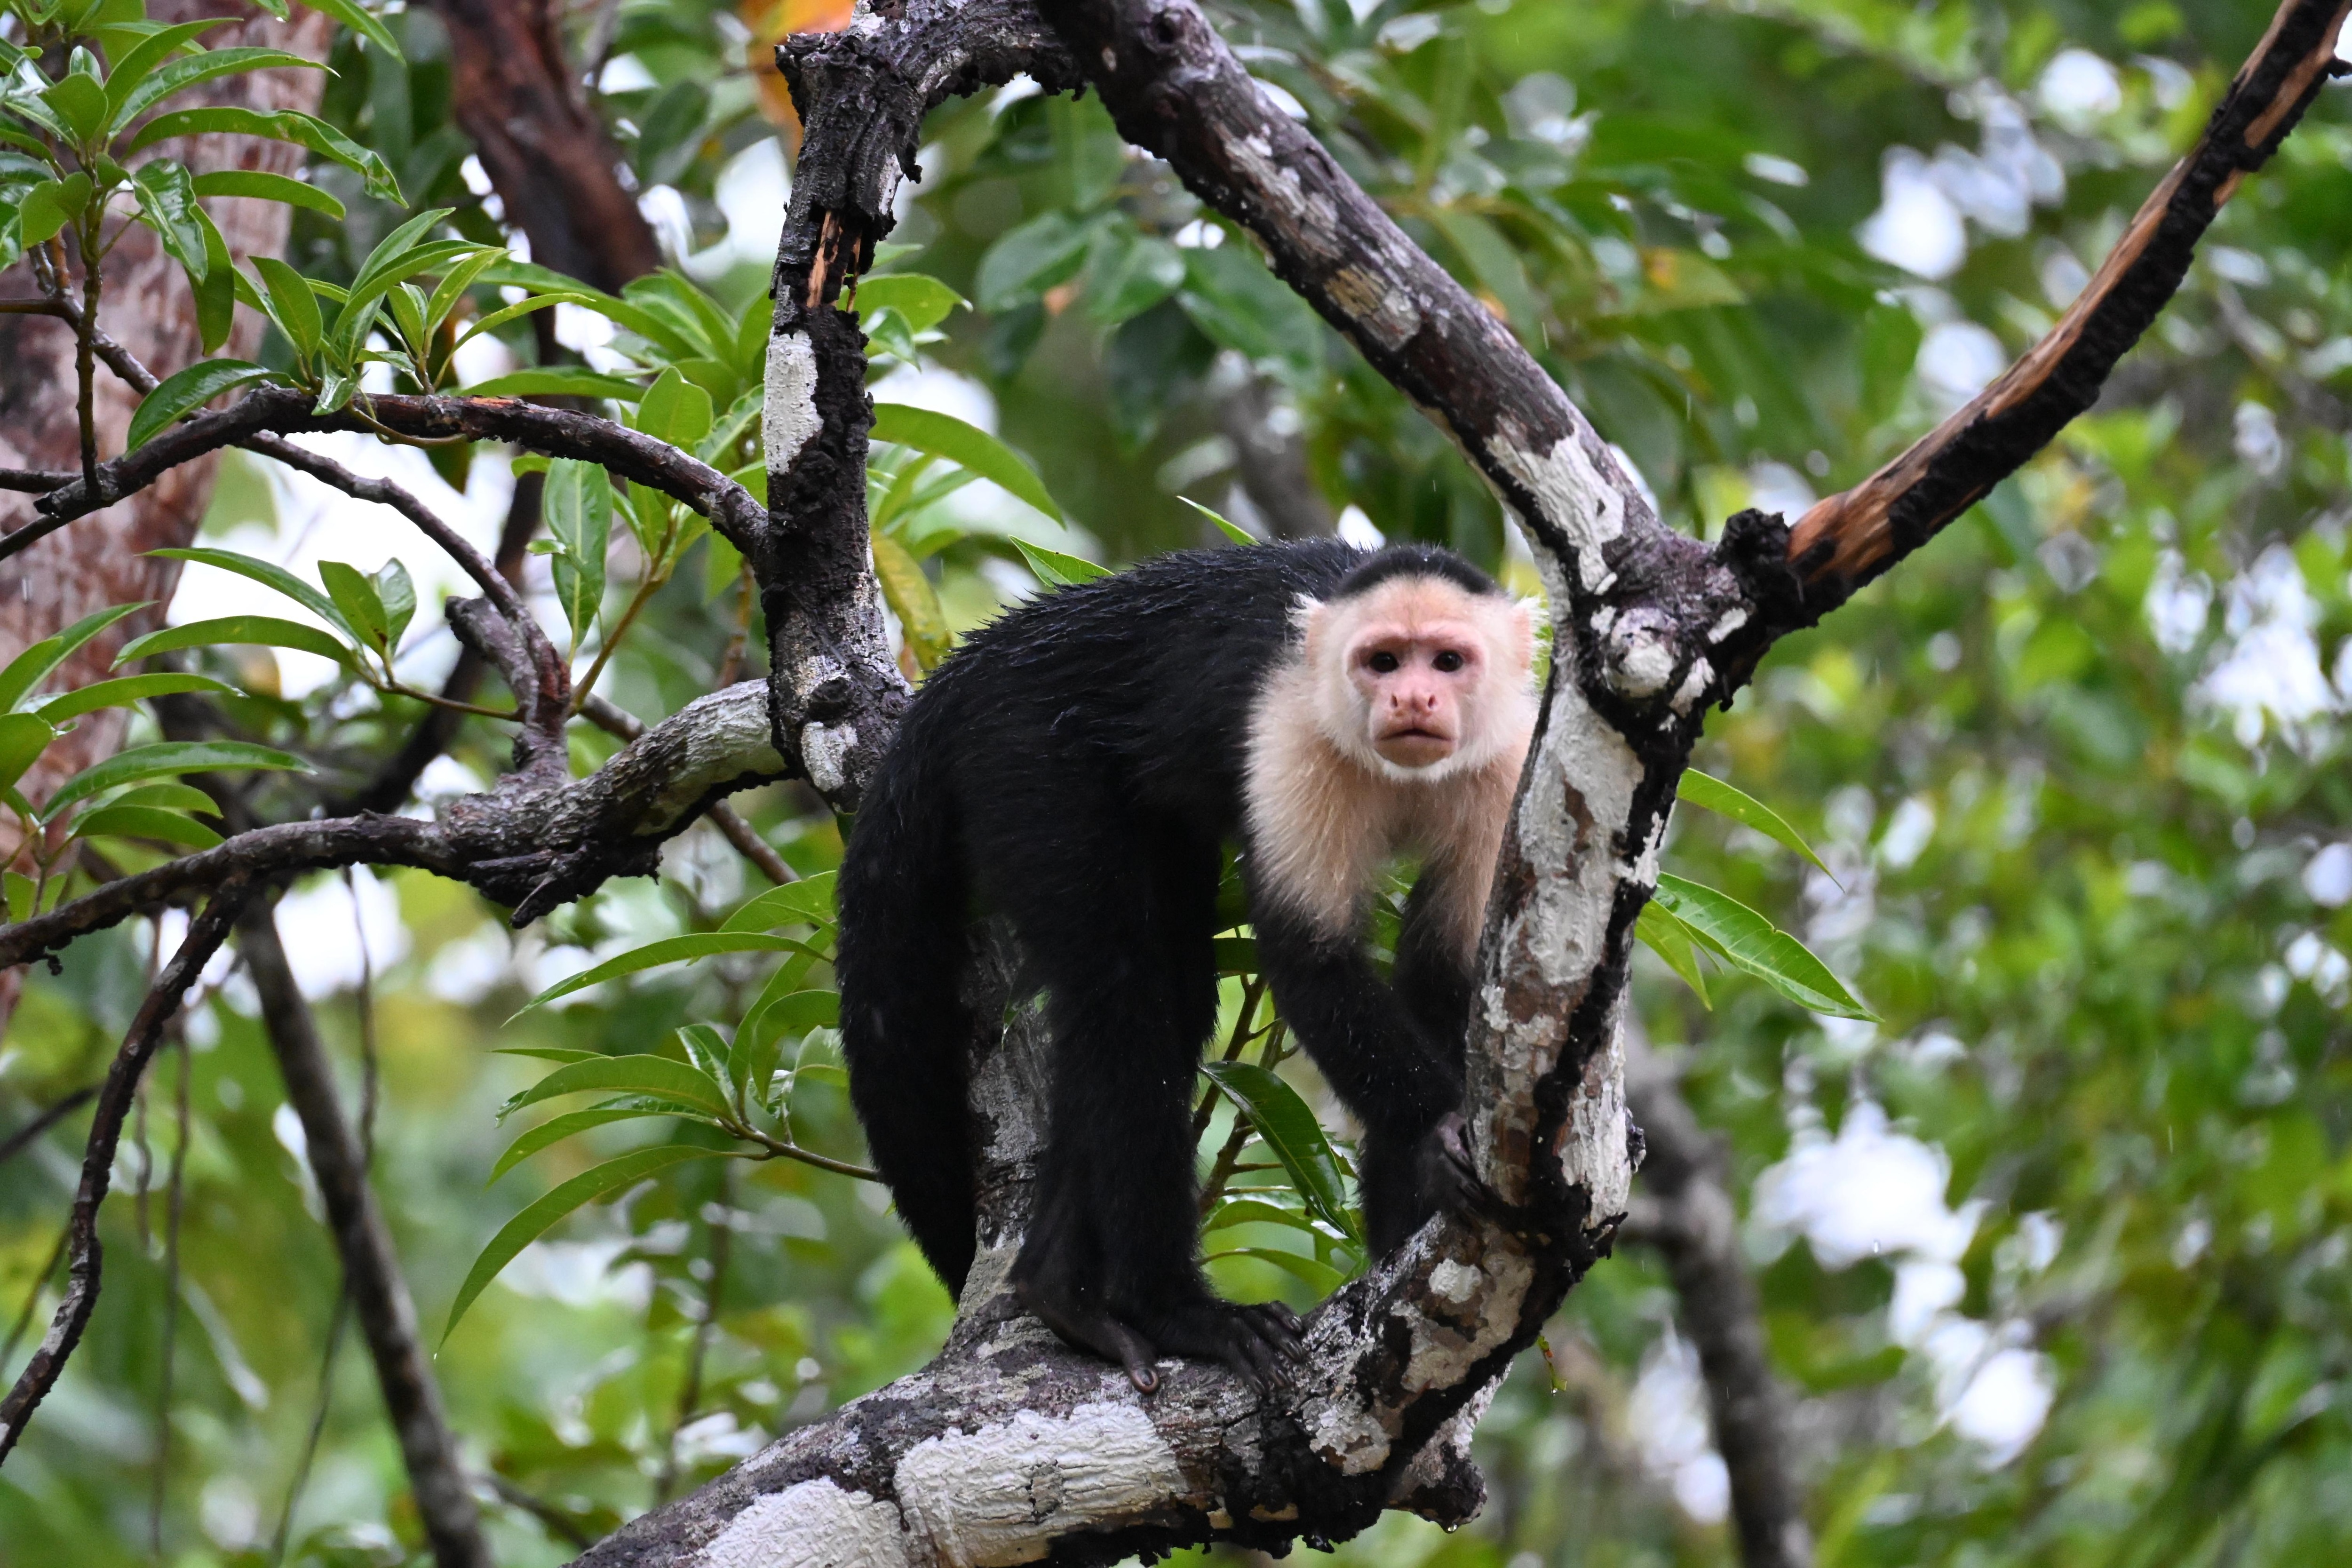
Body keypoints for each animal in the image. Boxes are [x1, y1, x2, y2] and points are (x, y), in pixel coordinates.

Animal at [834, 539, 1538, 1391]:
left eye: (1447, 661)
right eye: (1383, 661)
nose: (1411, 698)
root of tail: (982, 657)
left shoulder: (1508, 762)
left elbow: (1443, 977)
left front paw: (1409, 1216)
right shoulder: (1291, 729)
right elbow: (1309, 962)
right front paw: (1439, 1133)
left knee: (1173, 997)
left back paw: (1056, 1287)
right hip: (1025, 756)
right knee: (1122, 988)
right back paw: (1167, 1306)